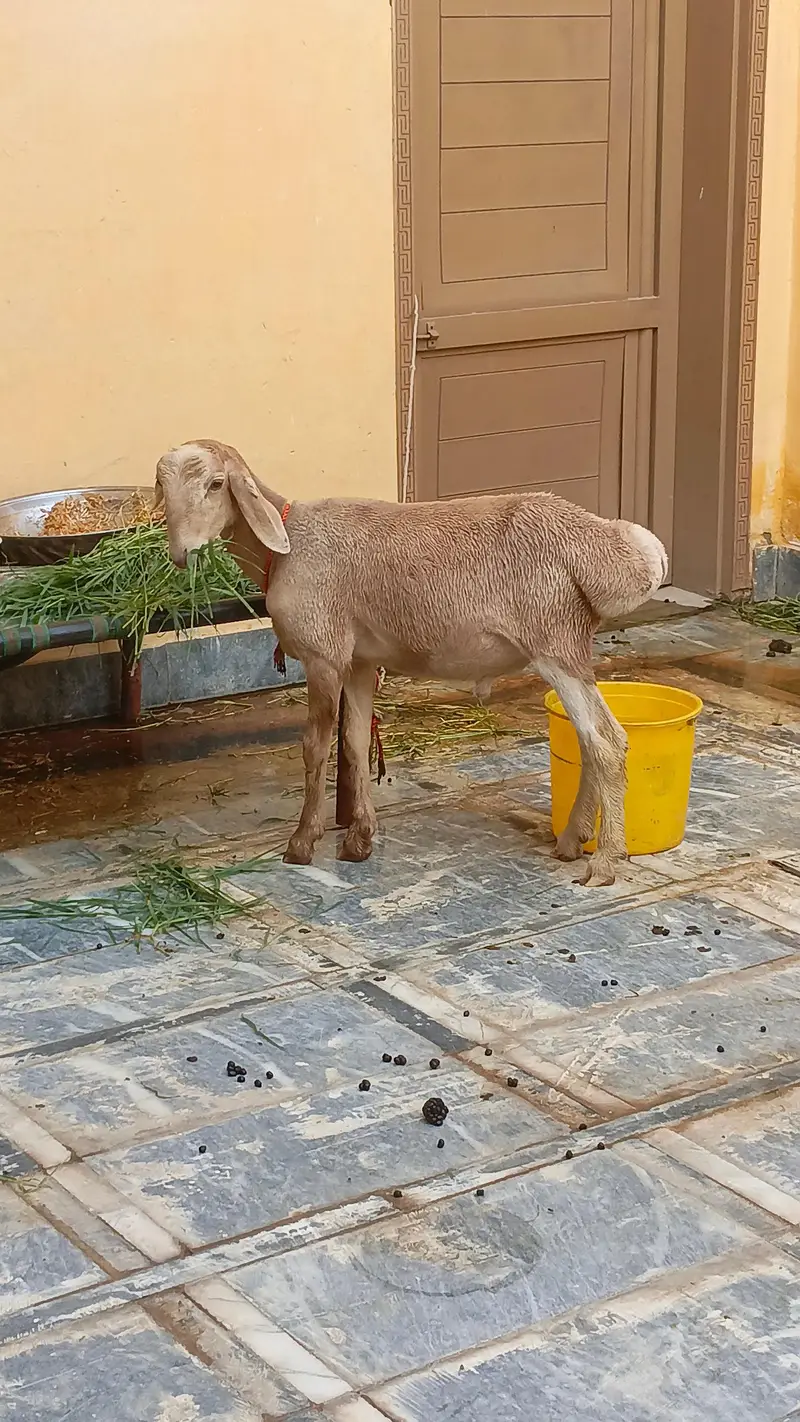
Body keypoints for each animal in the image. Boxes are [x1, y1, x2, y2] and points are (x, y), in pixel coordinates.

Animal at [155, 439, 668, 886]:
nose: (181, 554)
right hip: (568, 647)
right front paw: (359, 839)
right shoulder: (359, 662)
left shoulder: (324, 656)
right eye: (162, 487)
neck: (287, 544)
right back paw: (571, 840)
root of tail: (609, 547)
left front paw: (301, 843)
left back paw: (604, 862)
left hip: (555, 644)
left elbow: (315, 746)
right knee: (590, 741)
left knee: (607, 742)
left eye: (216, 484)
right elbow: (355, 743)